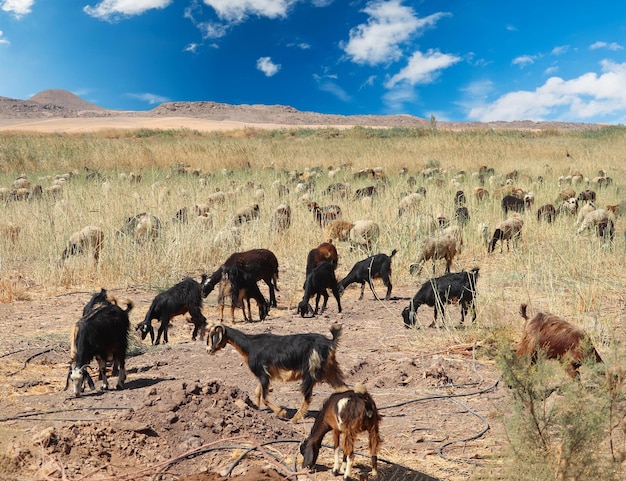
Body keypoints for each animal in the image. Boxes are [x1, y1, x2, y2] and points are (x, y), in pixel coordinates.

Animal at [205, 322, 346, 420]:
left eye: (213, 335)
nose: (208, 350)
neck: (250, 345)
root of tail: (330, 342)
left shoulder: (263, 373)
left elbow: (264, 397)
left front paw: (282, 413)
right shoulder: (264, 374)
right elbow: (257, 392)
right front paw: (256, 409)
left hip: (310, 372)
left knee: (308, 397)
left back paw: (295, 419)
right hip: (330, 371)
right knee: (343, 389)